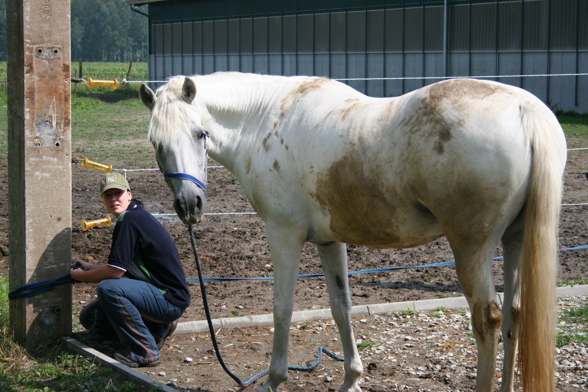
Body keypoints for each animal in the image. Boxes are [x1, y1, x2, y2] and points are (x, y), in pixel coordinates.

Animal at [140, 72, 568, 390]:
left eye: (200, 133)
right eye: (156, 143)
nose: (189, 206)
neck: (265, 118)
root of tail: (525, 109)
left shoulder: (283, 235)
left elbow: (282, 308)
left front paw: (275, 379)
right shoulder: (330, 241)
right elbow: (341, 307)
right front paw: (352, 378)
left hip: (472, 248)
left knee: (488, 320)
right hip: (514, 241)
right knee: (514, 314)